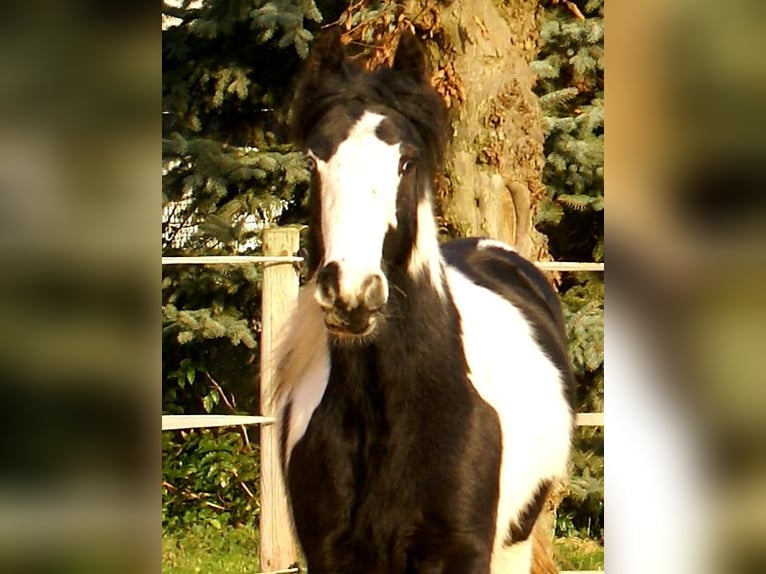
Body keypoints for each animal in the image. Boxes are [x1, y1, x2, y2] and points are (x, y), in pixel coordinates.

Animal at [272, 32, 572, 574]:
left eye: (405, 161)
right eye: (313, 159)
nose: (351, 293)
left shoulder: (460, 552)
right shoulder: (331, 554)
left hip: (514, 542)